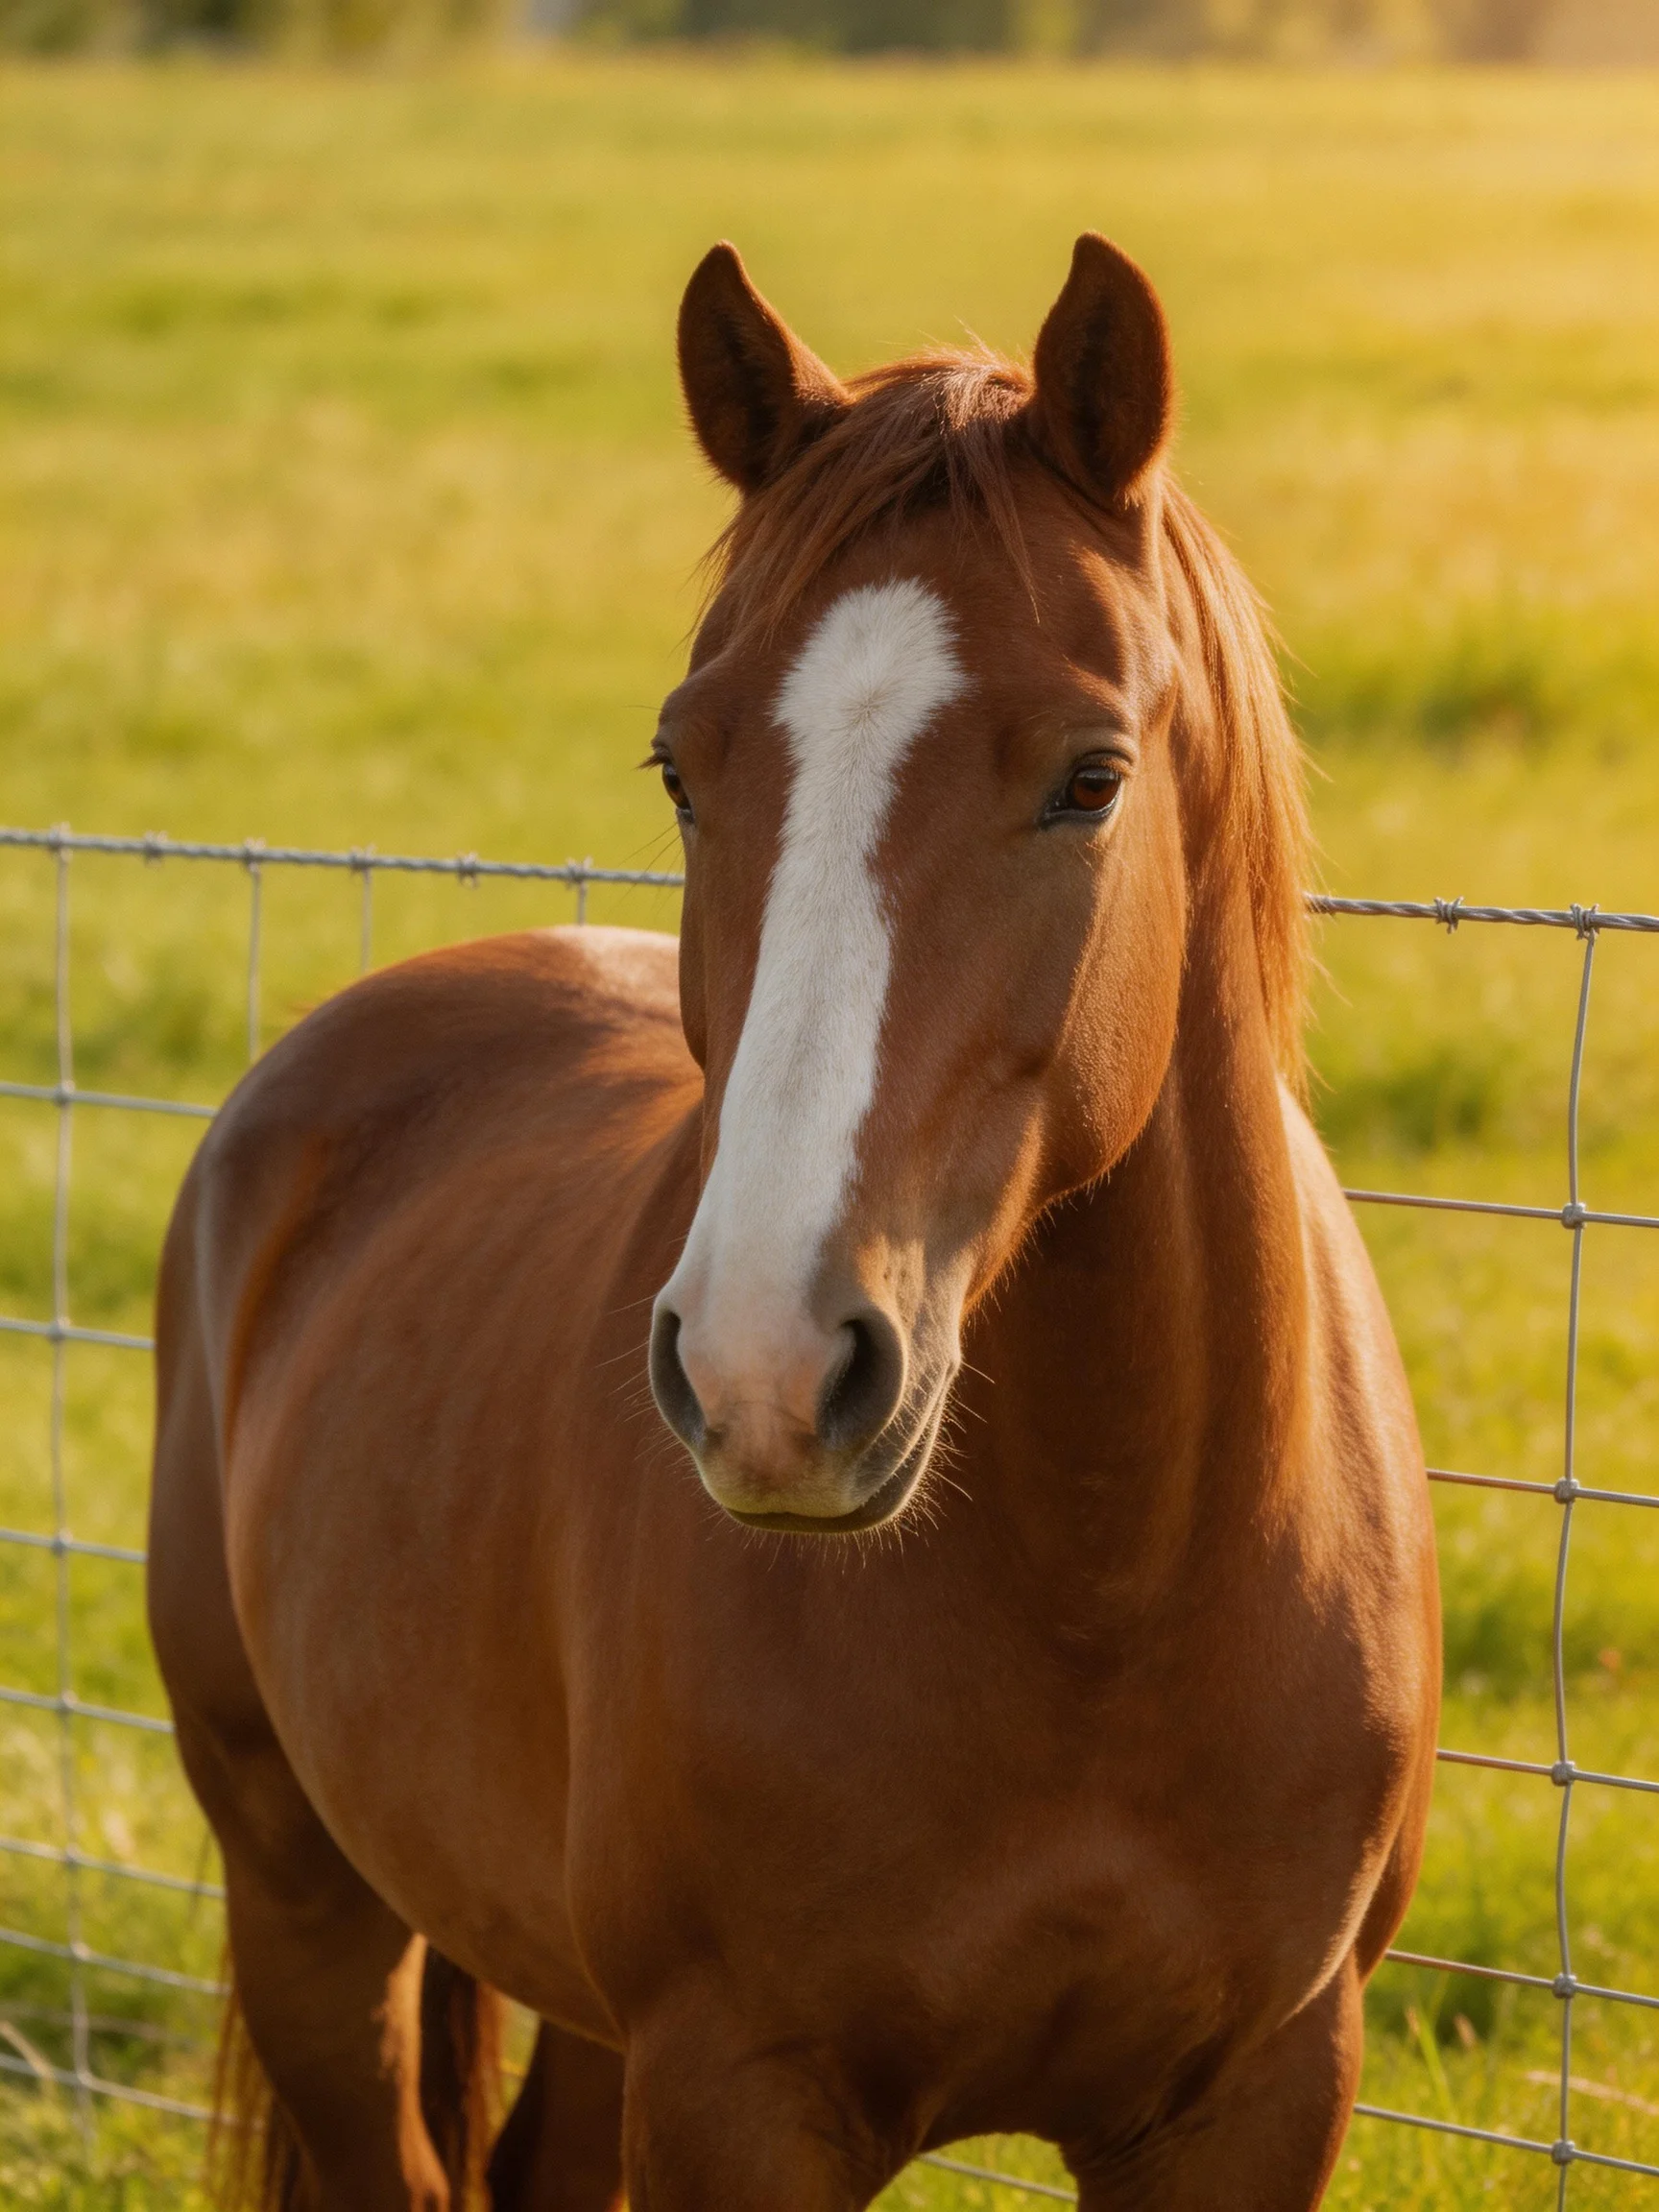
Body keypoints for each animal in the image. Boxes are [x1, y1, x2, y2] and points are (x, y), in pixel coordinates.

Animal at [148, 233, 1440, 2212]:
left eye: (1089, 773)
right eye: (681, 767)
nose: (766, 1368)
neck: (1111, 1586)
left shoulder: (1258, 2095)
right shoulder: (741, 2089)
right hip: (304, 1893)